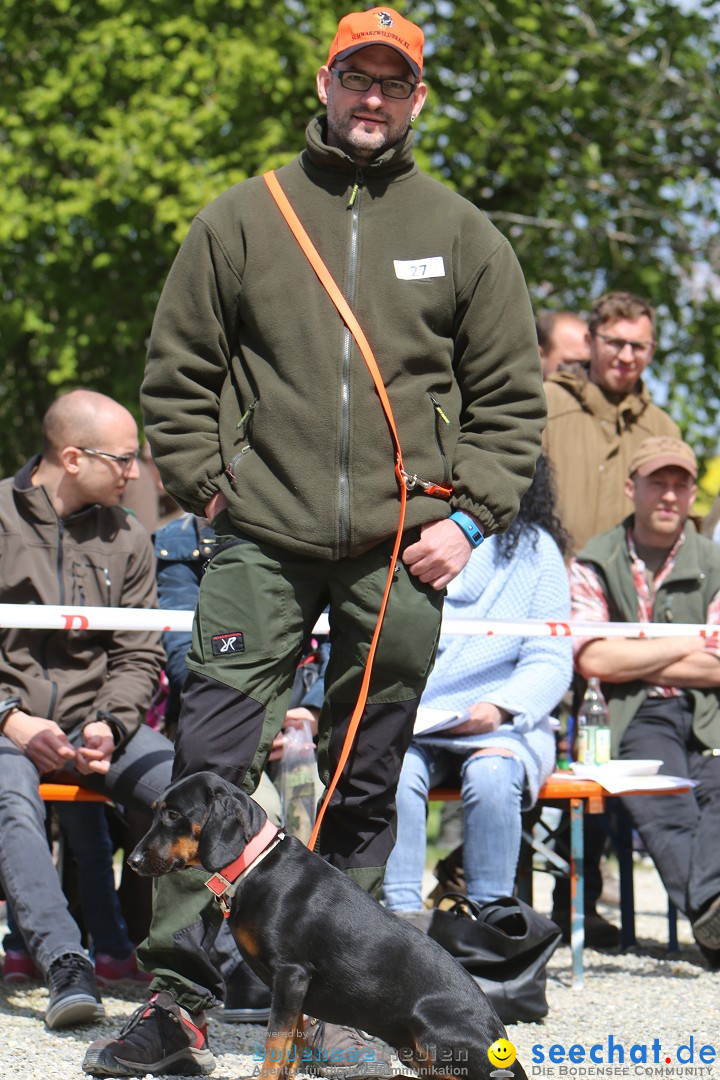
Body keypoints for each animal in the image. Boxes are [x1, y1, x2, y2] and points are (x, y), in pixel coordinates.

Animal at [127, 773, 528, 1080]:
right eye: (157, 811)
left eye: (174, 814)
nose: (131, 861)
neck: (254, 864)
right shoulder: (291, 988)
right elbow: (294, 1043)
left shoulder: (291, 974)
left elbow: (276, 1042)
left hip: (428, 1030)